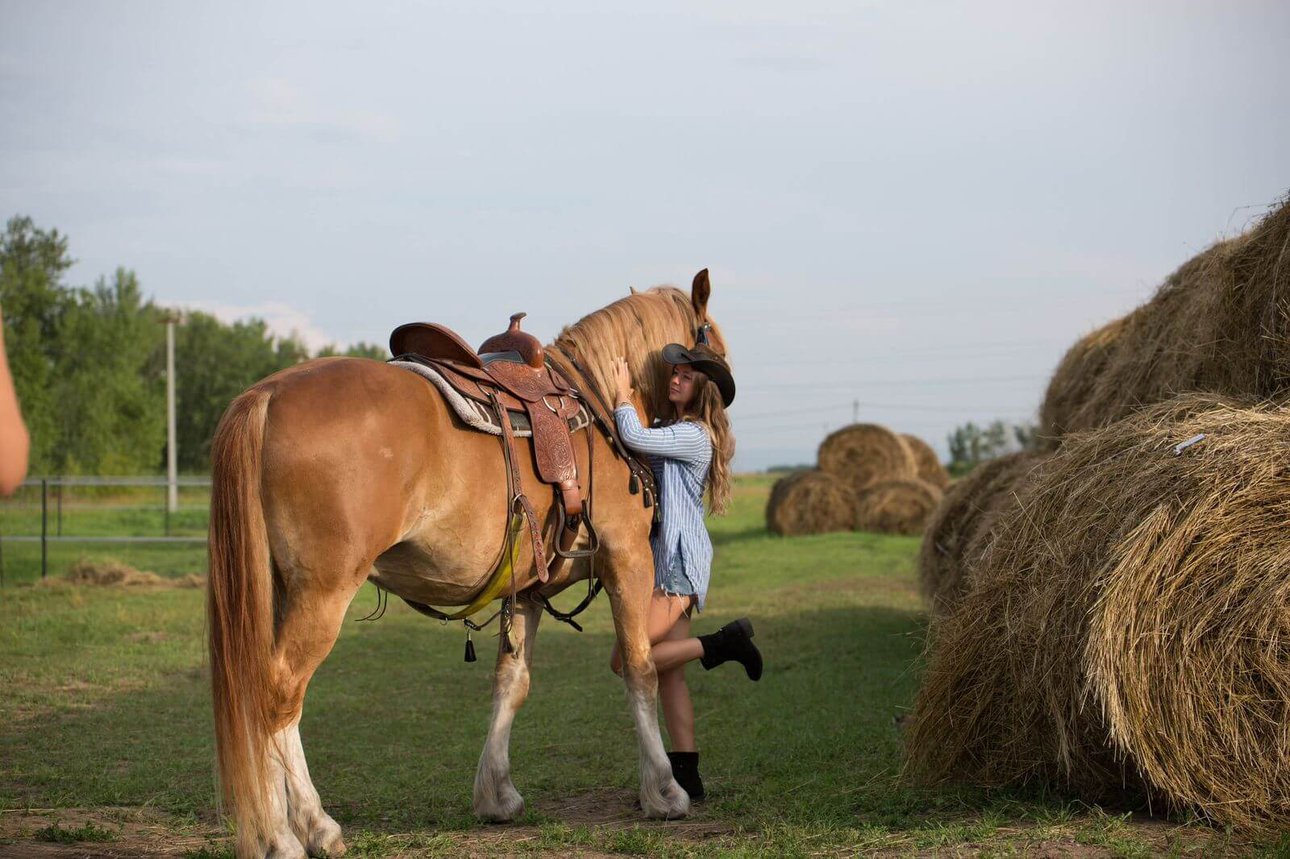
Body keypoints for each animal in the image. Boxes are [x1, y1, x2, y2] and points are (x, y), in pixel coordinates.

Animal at [202, 272, 727, 856]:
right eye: (711, 343)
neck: (597, 401)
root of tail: (267, 394)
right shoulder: (628, 561)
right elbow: (641, 669)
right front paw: (663, 791)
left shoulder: (527, 590)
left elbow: (511, 683)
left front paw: (496, 794)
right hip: (321, 594)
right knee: (276, 696)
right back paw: (293, 831)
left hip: (276, 592)